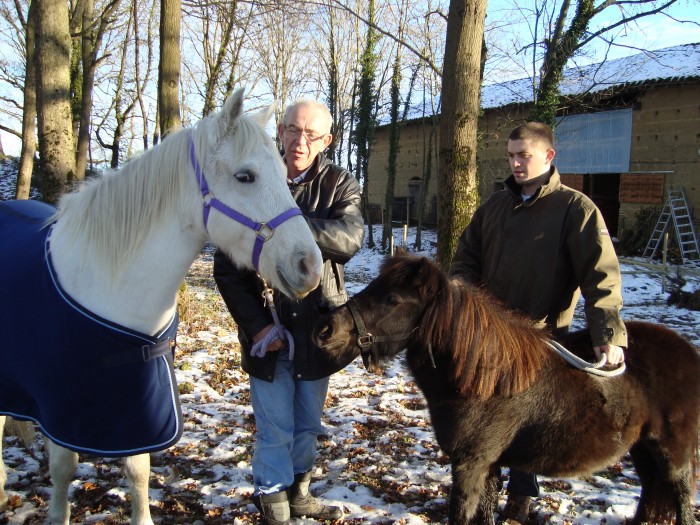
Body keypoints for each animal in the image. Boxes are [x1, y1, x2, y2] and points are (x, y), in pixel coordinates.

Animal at [0, 88, 322, 520]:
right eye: (245, 176)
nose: (310, 267)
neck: (108, 282)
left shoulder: (142, 405)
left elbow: (137, 469)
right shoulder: (60, 406)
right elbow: (63, 467)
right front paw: (57, 515)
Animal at [312, 250, 700, 524]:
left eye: (392, 299)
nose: (325, 330)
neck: (485, 380)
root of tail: (687, 351)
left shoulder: (472, 463)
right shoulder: (489, 465)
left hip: (673, 456)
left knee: (682, 500)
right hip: (643, 450)